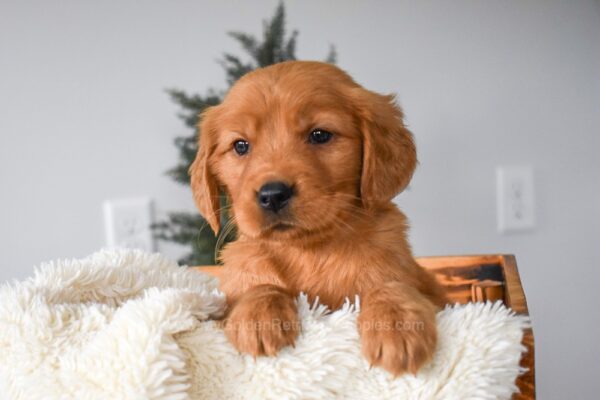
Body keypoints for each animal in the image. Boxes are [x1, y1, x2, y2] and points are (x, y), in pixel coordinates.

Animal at [190, 60, 448, 376]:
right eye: (240, 146)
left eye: (320, 135)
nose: (273, 195)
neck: (308, 250)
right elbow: (258, 285)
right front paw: (258, 315)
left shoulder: (416, 280)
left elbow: (389, 284)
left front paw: (397, 325)